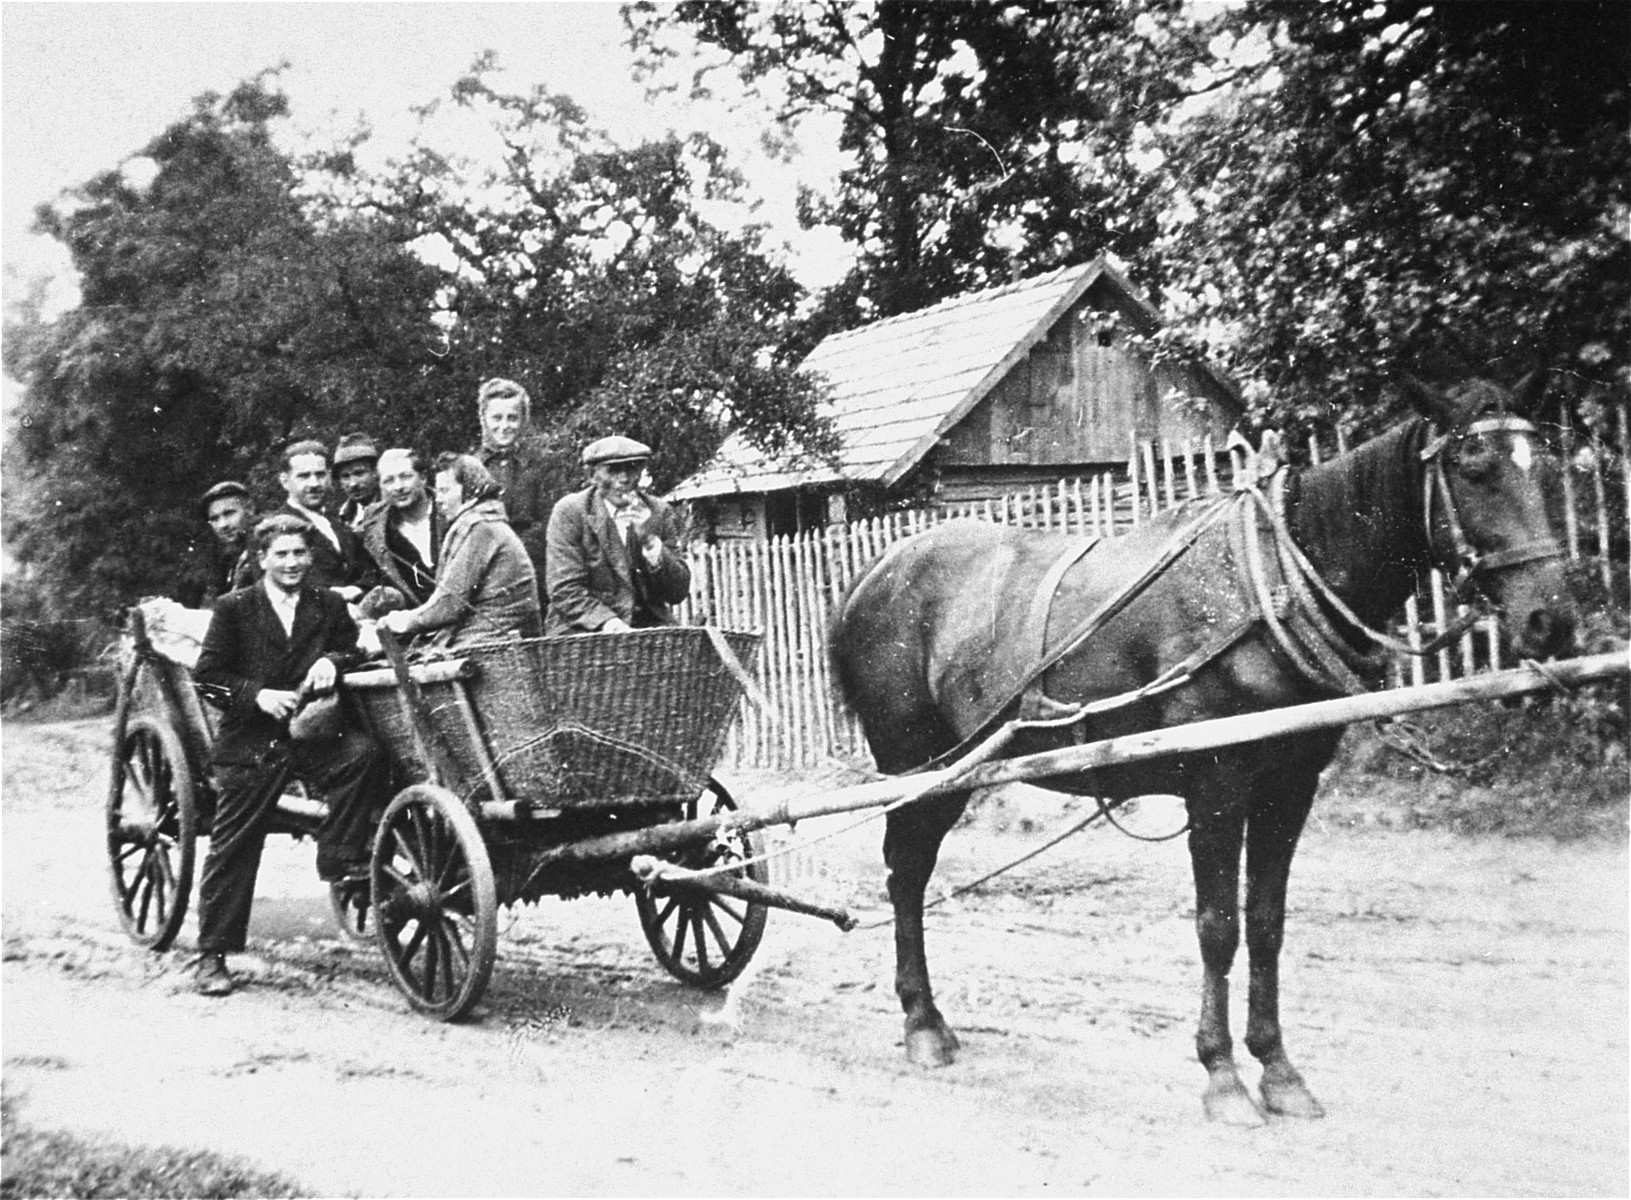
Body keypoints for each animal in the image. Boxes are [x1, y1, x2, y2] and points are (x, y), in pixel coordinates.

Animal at [835, 375, 1572, 1121]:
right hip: (916, 765)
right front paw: (1221, 1075)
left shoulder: (1290, 784)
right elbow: (1217, 926)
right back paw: (922, 1023)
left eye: (1547, 466)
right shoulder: (1216, 783)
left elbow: (1267, 923)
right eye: (1473, 467)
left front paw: (1277, 1069)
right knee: (906, 874)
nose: (1553, 620)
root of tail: (878, 568)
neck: (1270, 584)